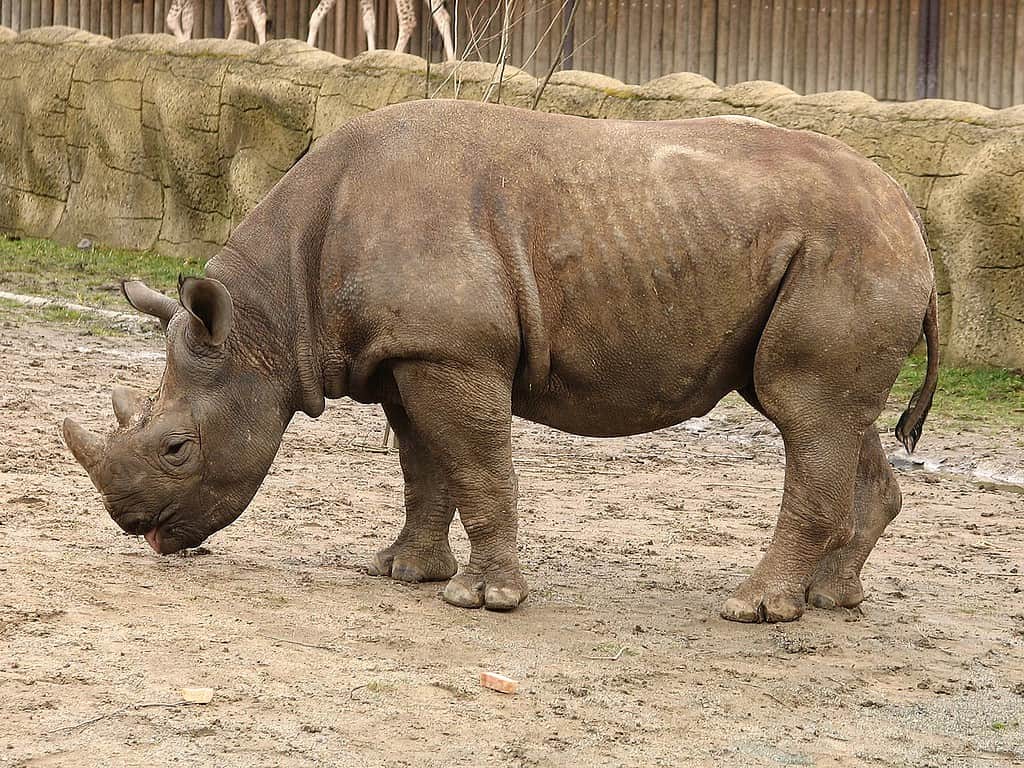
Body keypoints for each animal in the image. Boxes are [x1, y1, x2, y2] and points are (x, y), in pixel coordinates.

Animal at [63, 99, 938, 623]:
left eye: (176, 448)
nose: (132, 526)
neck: (271, 319)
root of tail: (912, 219)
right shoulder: (408, 354)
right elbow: (425, 470)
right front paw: (403, 571)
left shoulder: (453, 351)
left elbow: (479, 468)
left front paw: (484, 600)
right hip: (840, 251)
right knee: (826, 414)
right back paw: (832, 598)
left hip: (847, 249)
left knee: (804, 410)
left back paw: (754, 610)